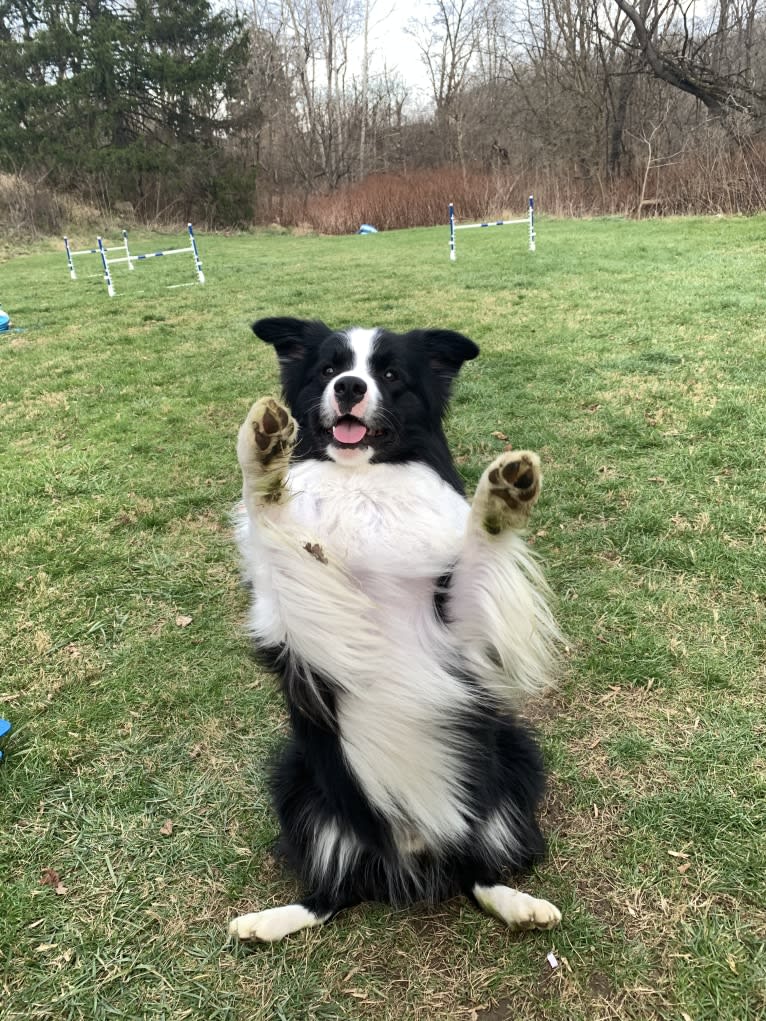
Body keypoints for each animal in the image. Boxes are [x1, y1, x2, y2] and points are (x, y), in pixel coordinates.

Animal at [227, 316, 563, 939]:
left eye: (389, 375)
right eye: (329, 369)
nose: (350, 388)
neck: (365, 485)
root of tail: (413, 847)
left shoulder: (456, 630)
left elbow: (481, 548)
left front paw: (502, 497)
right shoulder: (297, 624)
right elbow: (275, 522)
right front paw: (262, 454)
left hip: (514, 753)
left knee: (477, 872)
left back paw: (522, 906)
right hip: (296, 777)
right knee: (331, 893)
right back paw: (265, 923)